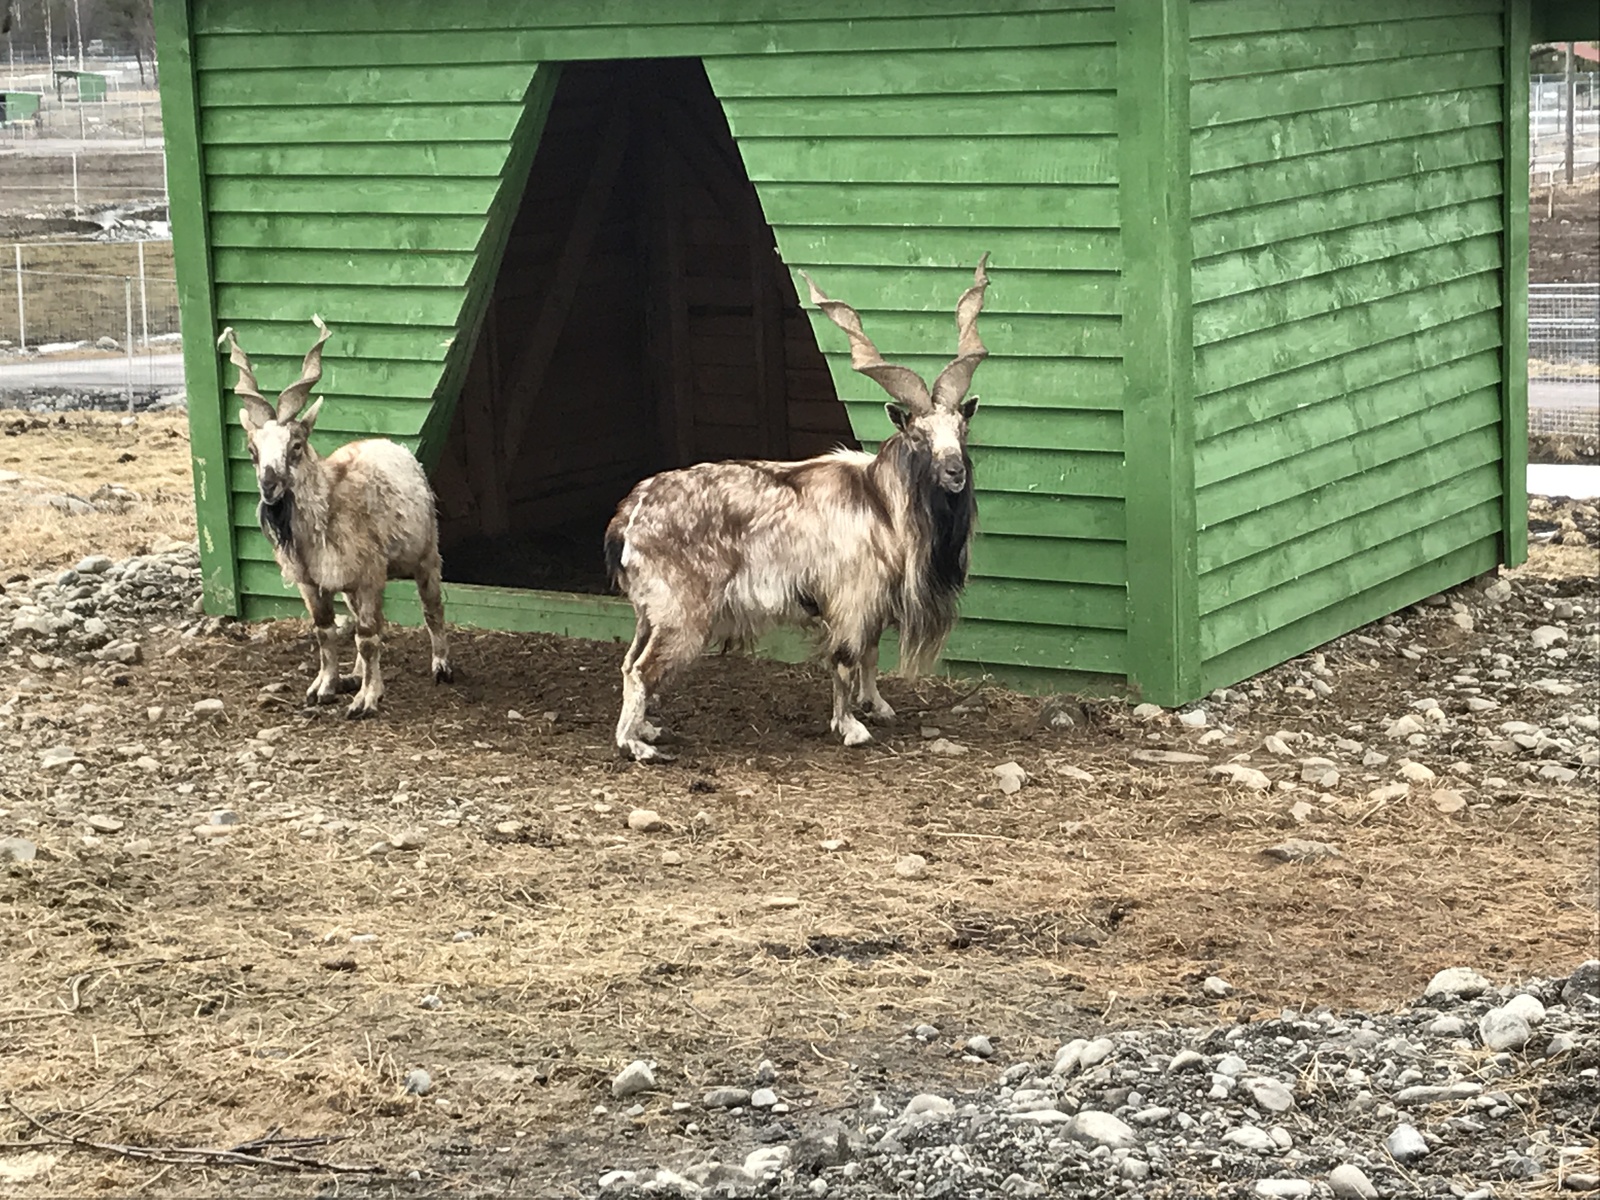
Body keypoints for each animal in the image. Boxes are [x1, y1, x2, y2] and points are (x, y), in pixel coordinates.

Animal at [216, 315, 454, 720]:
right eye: (252, 450)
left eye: (296, 446)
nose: (269, 486)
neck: (327, 513)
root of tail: (395, 447)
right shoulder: (314, 583)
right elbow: (325, 630)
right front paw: (326, 687)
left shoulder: (370, 575)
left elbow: (368, 636)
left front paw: (366, 699)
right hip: (349, 586)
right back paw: (355, 672)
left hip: (425, 556)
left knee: (430, 609)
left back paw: (440, 666)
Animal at [608, 256, 992, 761]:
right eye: (917, 434)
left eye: (961, 429)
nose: (954, 472)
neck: (881, 502)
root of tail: (628, 517)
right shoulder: (849, 599)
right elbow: (845, 660)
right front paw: (850, 726)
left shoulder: (871, 605)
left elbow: (871, 655)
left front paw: (878, 707)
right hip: (681, 614)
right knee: (641, 670)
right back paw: (636, 745)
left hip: (647, 614)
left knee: (629, 663)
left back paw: (649, 729)